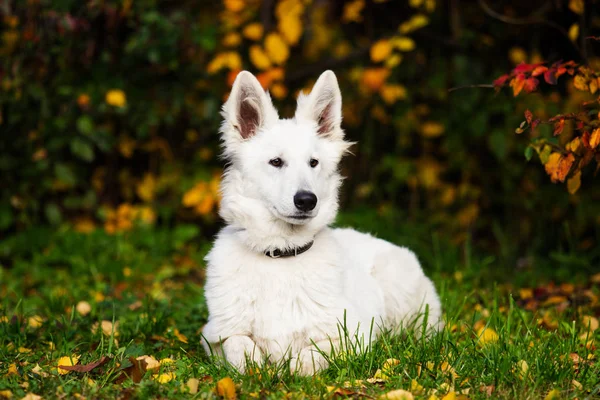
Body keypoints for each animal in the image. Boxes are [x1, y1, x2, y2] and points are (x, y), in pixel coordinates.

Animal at [202, 69, 440, 376]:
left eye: (313, 163)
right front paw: (258, 369)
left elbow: (310, 356)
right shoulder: (213, 335)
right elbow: (239, 347)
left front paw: (287, 370)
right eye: (276, 162)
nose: (307, 200)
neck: (281, 253)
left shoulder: (353, 337)